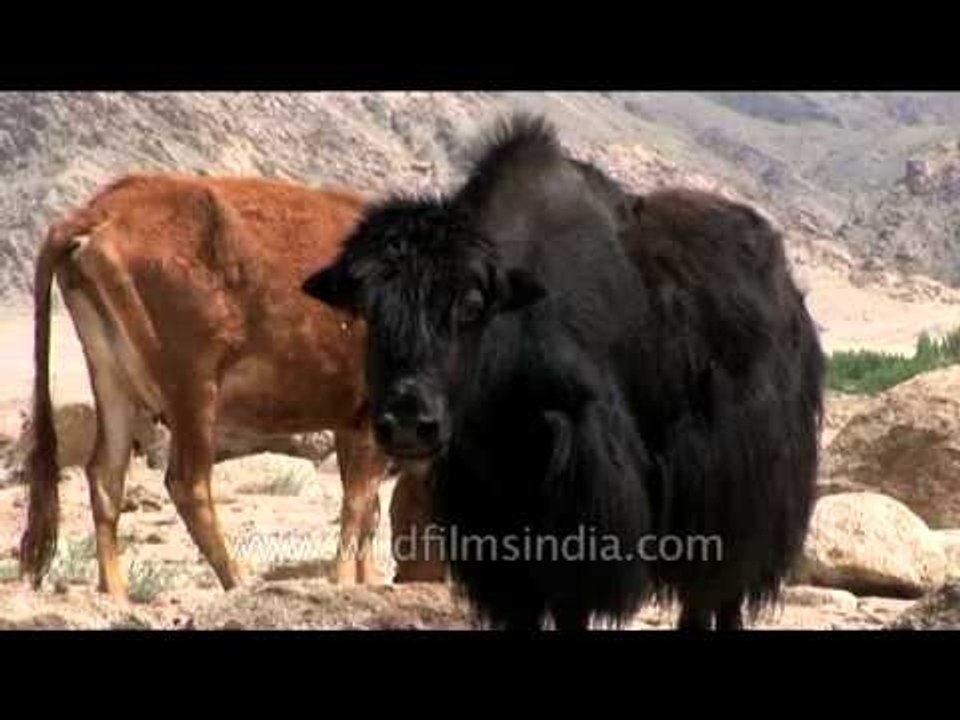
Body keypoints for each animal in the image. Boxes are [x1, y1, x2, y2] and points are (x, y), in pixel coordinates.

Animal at [18, 173, 439, 600]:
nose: (408, 574)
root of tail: (98, 212)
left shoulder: (349, 423)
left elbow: (365, 508)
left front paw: (364, 581)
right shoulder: (373, 419)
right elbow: (358, 503)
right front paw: (342, 582)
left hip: (113, 381)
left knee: (106, 476)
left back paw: (117, 595)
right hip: (193, 387)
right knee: (187, 483)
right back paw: (237, 580)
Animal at [301, 114, 825, 630]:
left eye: (470, 306)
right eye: (368, 310)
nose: (408, 422)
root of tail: (789, 294)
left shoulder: (584, 499)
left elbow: (573, 602)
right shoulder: (494, 521)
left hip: (743, 498)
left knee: (719, 592)